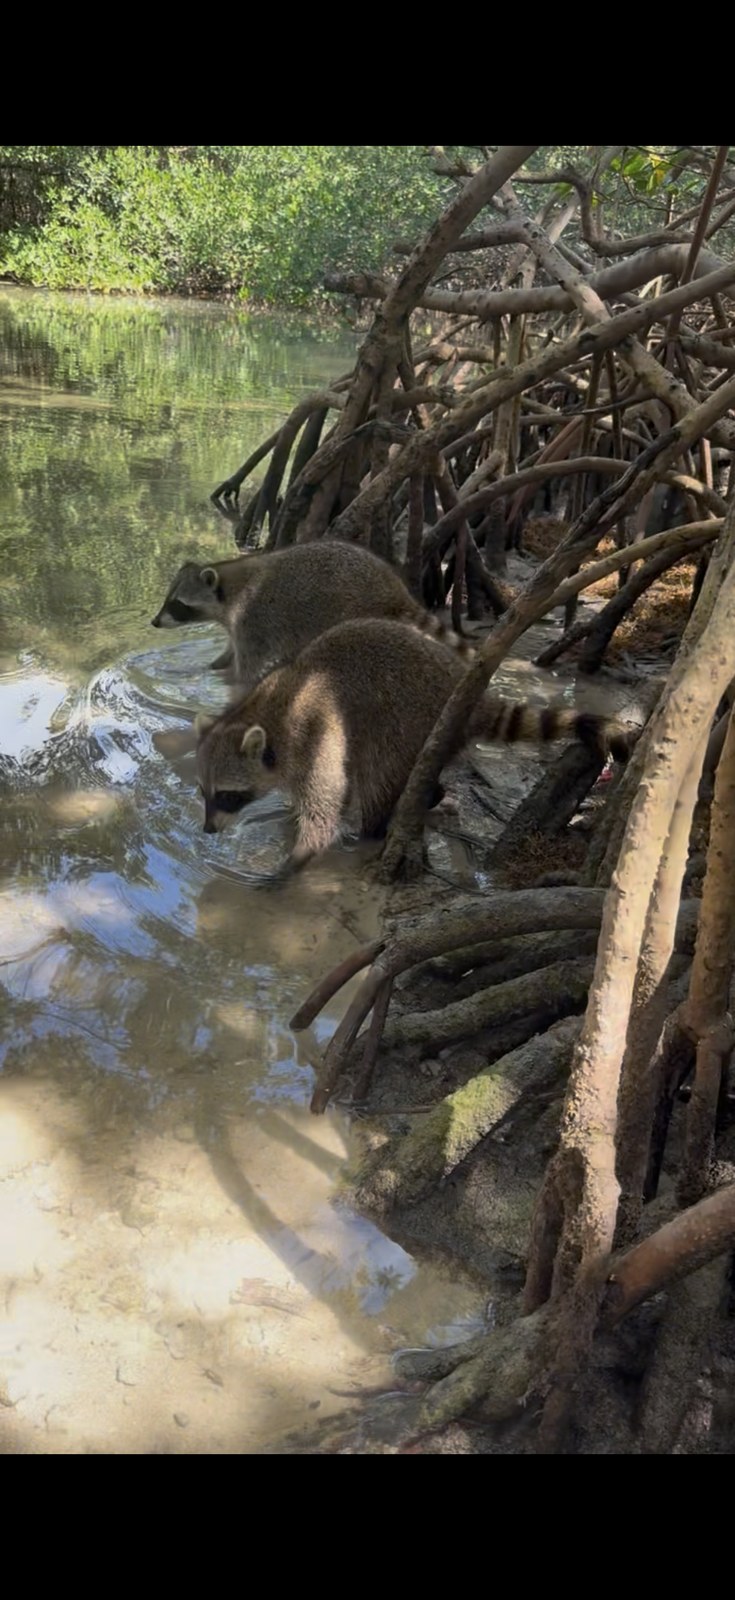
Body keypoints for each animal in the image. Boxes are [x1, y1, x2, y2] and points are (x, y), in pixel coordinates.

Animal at [152, 541, 478, 691]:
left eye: (177, 604)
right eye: (167, 599)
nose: (154, 622)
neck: (229, 586)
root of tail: (392, 587)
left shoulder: (251, 620)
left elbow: (246, 672)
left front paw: (228, 681)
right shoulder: (238, 624)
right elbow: (228, 654)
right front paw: (208, 667)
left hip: (356, 611)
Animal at [194, 618, 631, 878]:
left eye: (228, 796)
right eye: (203, 793)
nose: (207, 830)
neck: (267, 715)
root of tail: (467, 694)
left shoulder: (313, 735)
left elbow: (325, 801)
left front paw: (300, 855)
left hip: (411, 723)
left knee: (379, 777)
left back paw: (380, 825)